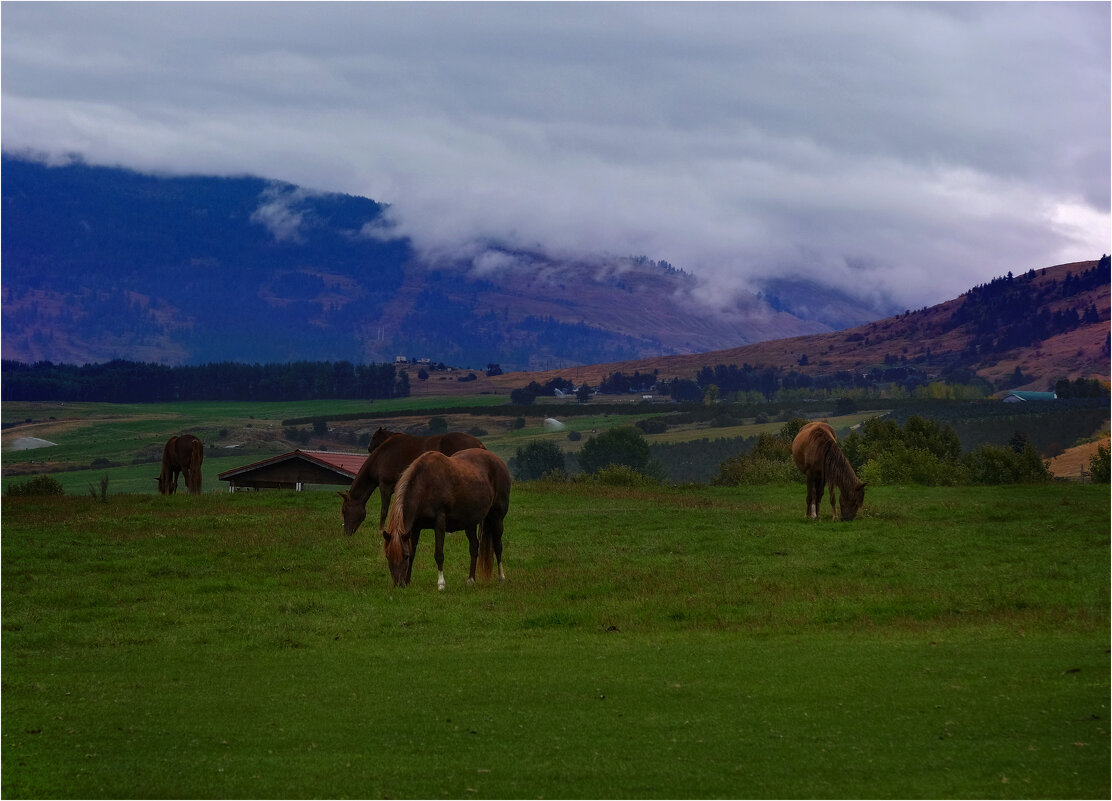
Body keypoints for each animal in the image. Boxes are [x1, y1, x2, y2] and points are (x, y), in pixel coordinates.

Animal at [333, 429, 482, 534]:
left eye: (344, 511)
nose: (347, 533)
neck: (381, 457)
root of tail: (479, 444)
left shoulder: (385, 486)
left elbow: (384, 510)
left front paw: (381, 530)